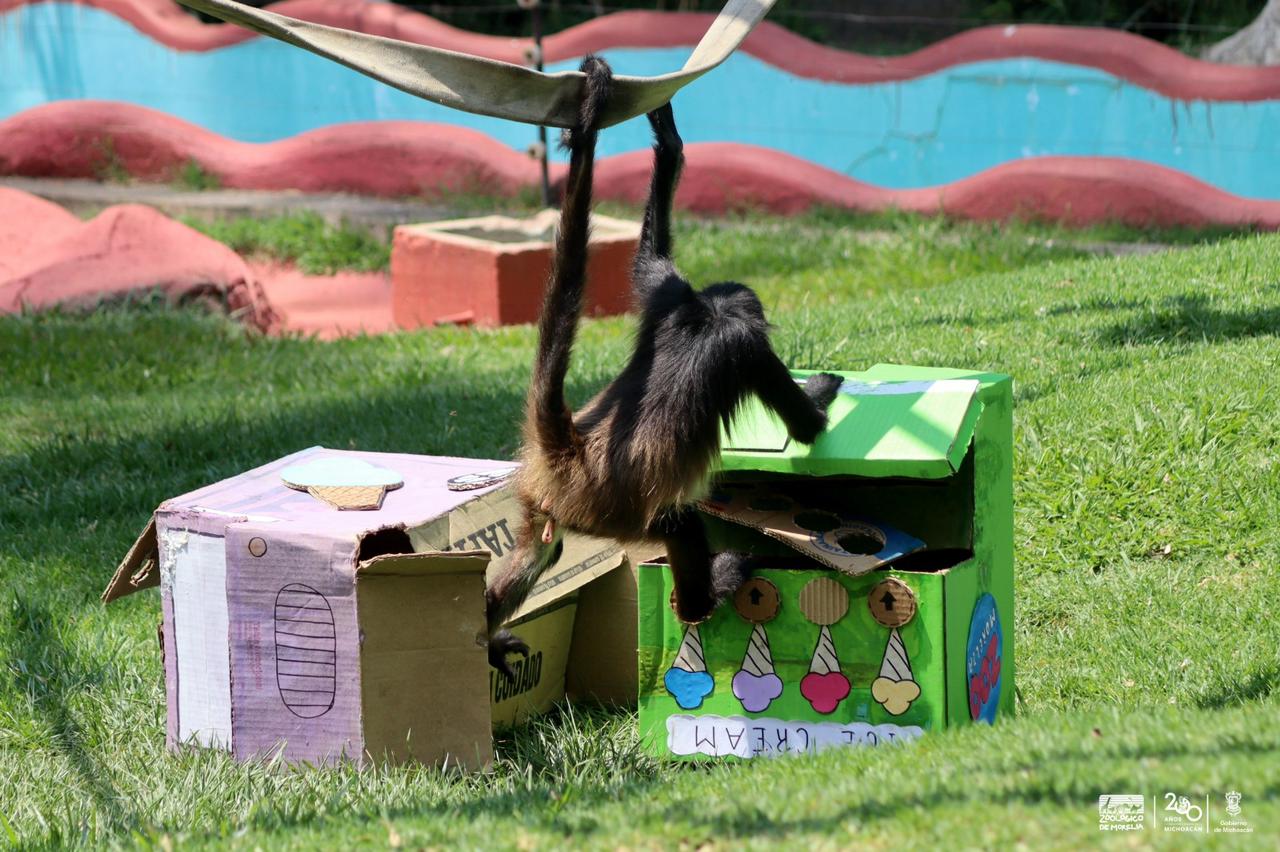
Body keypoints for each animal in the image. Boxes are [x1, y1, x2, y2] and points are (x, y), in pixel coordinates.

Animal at [483, 54, 844, 675]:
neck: (705, 314)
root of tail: (570, 449)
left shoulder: (669, 292)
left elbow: (650, 256)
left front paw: (667, 136)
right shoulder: (744, 342)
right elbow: (804, 425)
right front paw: (820, 393)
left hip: (544, 502)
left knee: (541, 550)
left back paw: (484, 637)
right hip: (618, 513)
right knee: (679, 522)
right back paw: (705, 597)